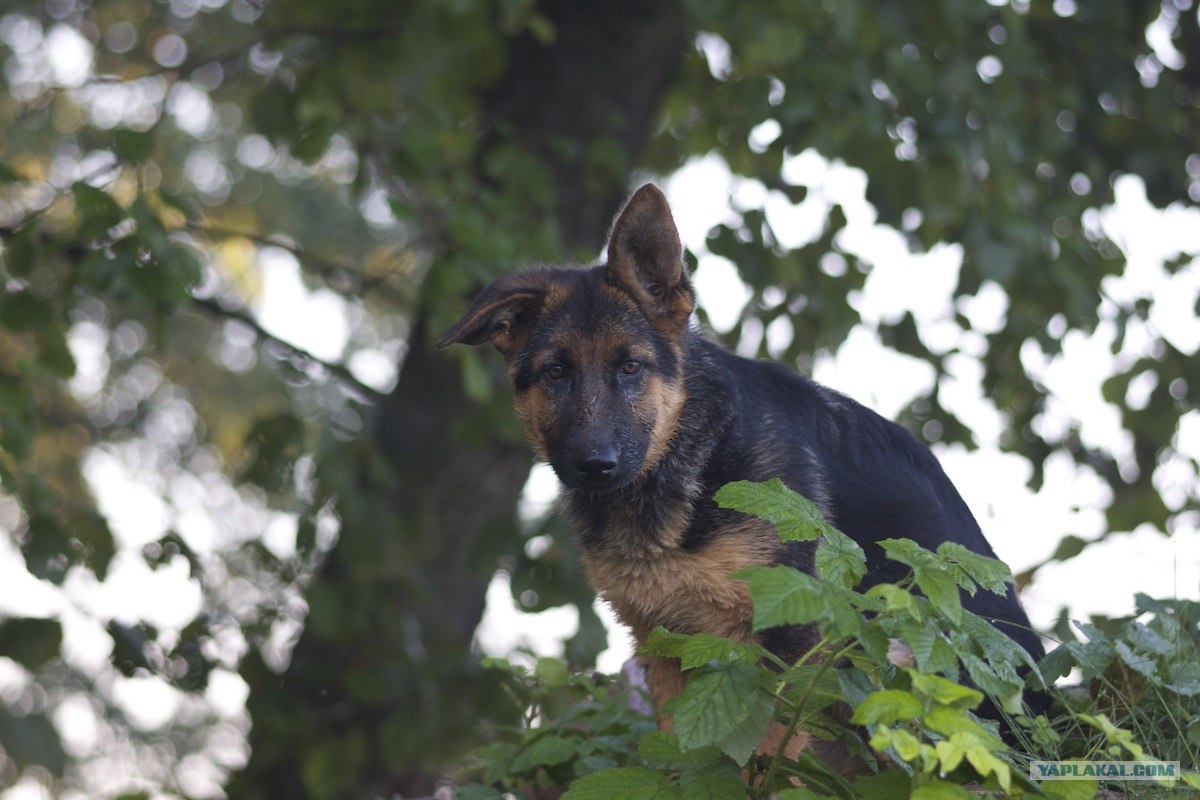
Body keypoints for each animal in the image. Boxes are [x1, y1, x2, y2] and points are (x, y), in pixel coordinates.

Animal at [438, 184, 1044, 761]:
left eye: (630, 367)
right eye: (556, 373)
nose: (596, 465)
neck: (689, 461)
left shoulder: (789, 636)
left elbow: (764, 758)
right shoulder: (664, 645)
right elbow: (685, 758)